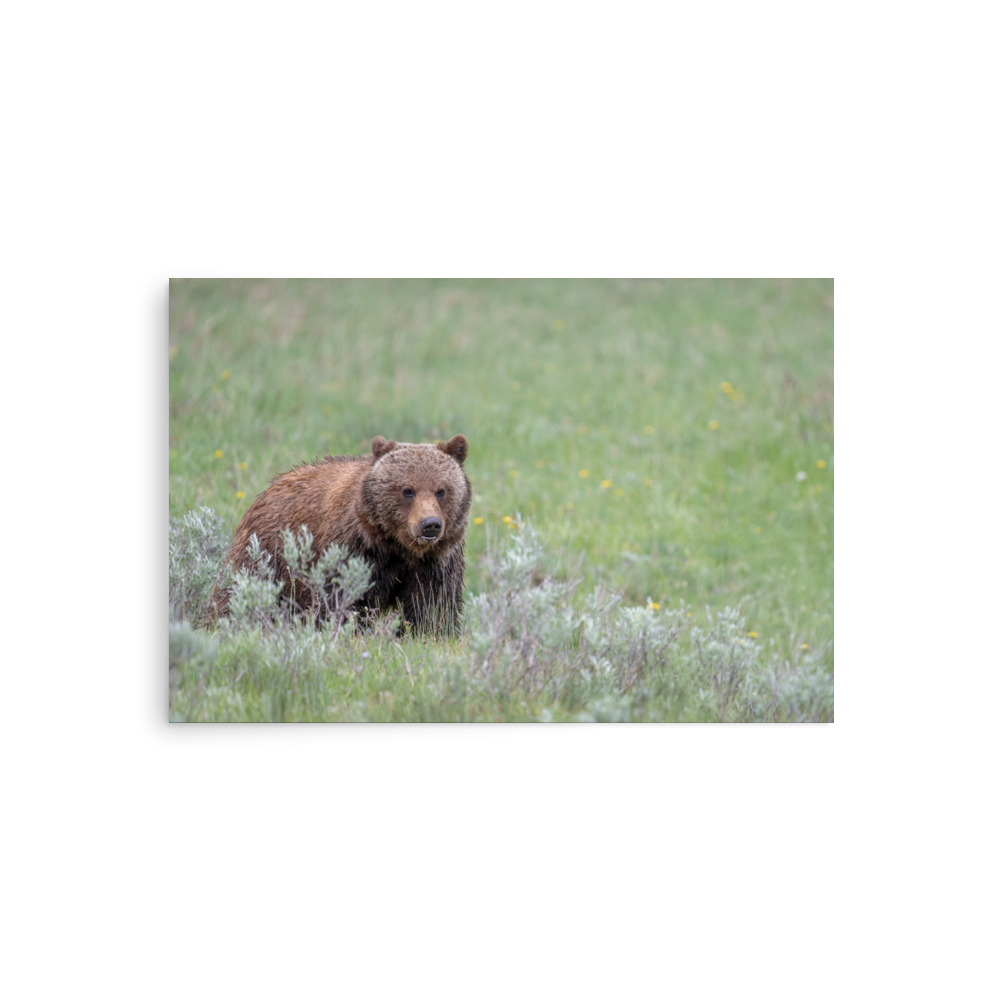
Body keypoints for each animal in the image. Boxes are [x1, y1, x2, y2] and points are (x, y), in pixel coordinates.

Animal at [207, 434, 471, 635]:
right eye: (408, 490)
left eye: (441, 490)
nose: (430, 525)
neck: (396, 546)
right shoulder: (353, 548)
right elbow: (342, 598)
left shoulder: (435, 560)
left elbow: (432, 604)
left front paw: (430, 633)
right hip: (267, 552)